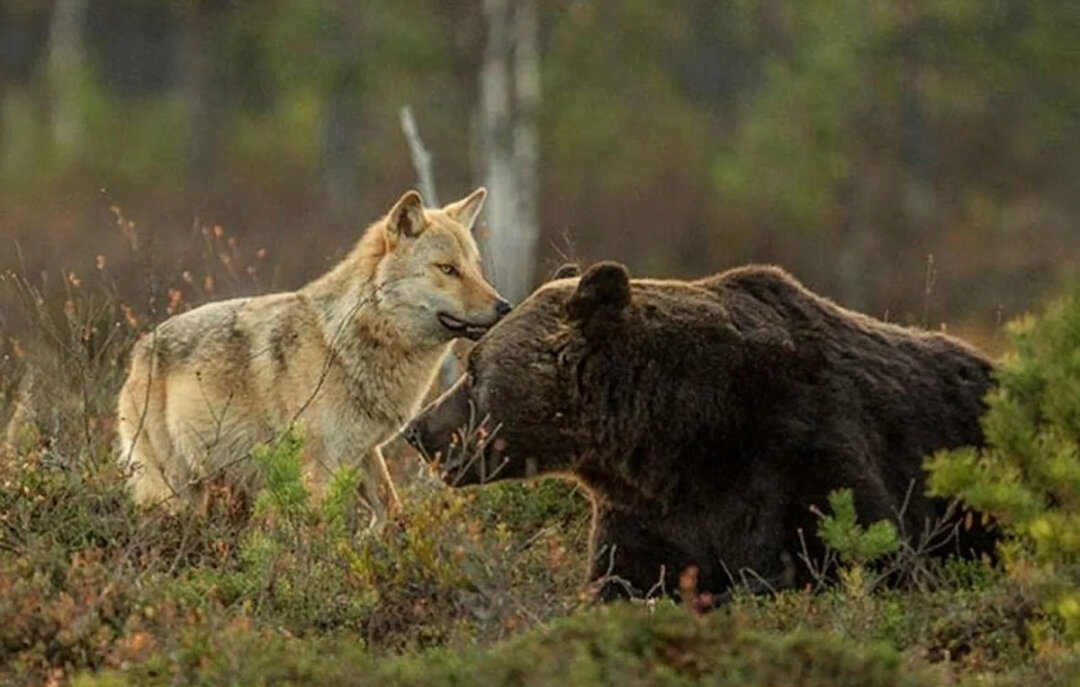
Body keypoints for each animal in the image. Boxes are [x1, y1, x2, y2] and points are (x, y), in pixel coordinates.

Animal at [403, 262, 993, 600]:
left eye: (474, 370)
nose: (416, 429)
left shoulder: (802, 448)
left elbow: (867, 557)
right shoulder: (649, 515)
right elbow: (624, 584)